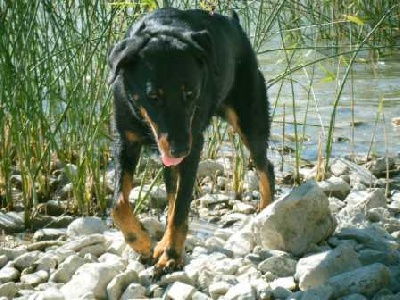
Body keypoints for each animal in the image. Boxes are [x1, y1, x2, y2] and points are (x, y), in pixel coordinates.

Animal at [108, 7, 274, 276]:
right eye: (153, 96)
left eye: (191, 93)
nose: (179, 149)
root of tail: (235, 23)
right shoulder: (126, 143)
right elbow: (119, 204)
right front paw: (141, 241)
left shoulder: (193, 146)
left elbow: (180, 209)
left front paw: (171, 256)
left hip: (250, 121)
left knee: (265, 167)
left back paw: (266, 211)